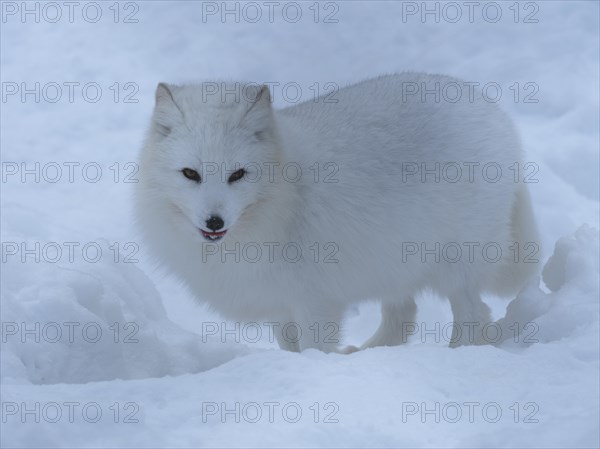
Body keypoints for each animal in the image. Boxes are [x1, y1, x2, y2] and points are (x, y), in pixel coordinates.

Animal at [135, 73, 540, 352]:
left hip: (456, 263)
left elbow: (314, 347)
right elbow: (290, 347)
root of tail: (493, 110)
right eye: (190, 174)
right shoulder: (278, 301)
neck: (284, 197)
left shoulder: (315, 302)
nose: (214, 222)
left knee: (473, 315)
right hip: (393, 261)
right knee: (403, 318)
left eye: (238, 175)